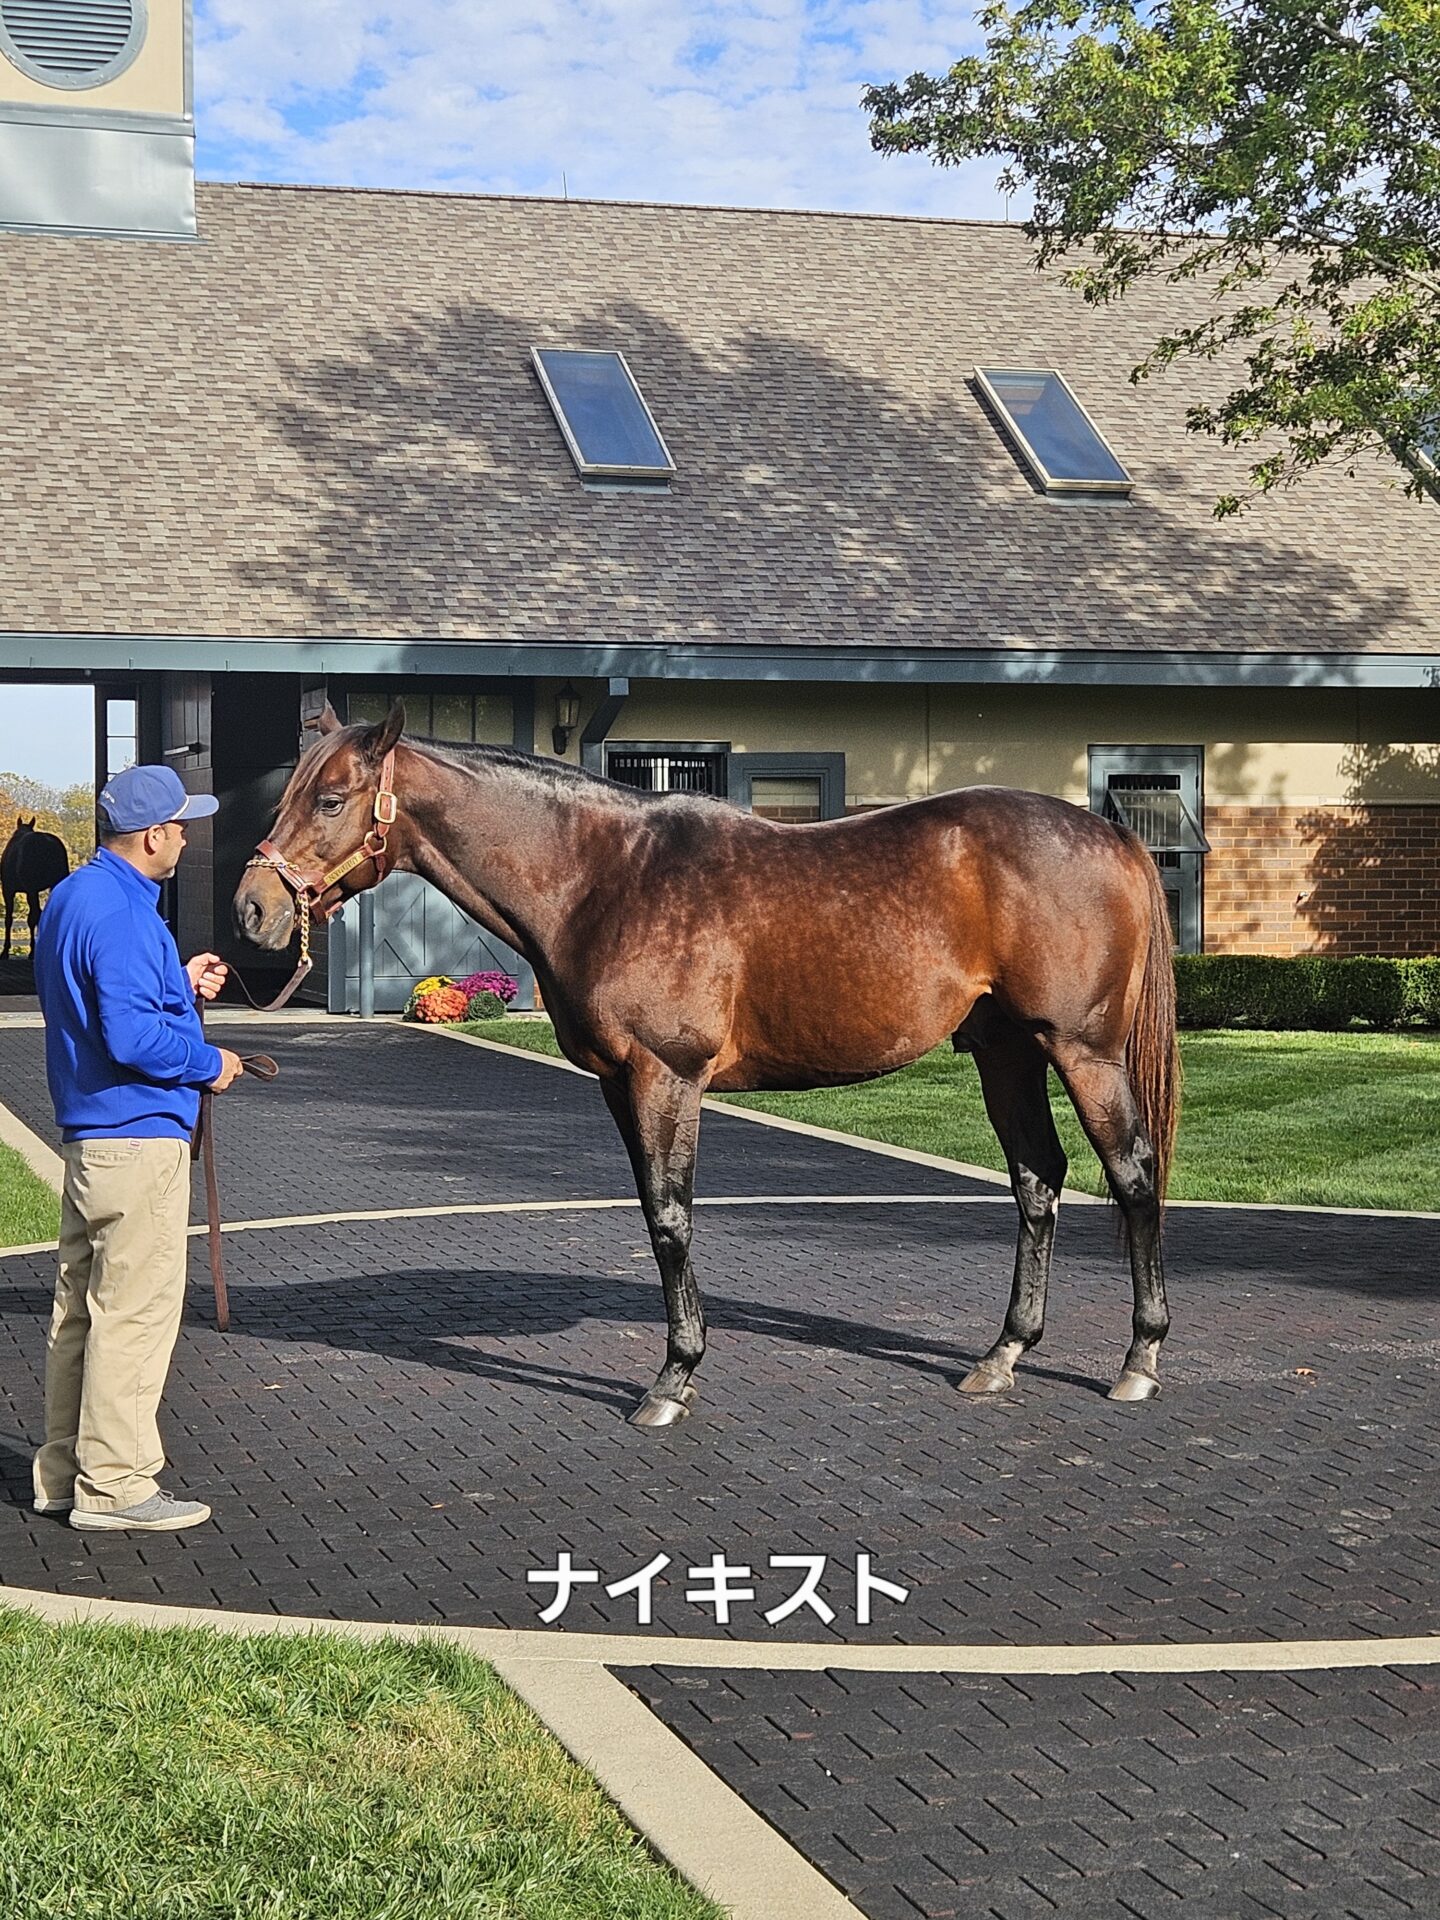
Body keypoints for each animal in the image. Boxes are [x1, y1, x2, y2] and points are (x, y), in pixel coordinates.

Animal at [1, 815, 70, 960]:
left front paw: (5, 951)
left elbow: (9, 919)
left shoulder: (9, 890)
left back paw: (33, 952)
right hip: (53, 884)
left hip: (31, 890)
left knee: (35, 916)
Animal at [234, 702, 1179, 1429]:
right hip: (1004, 1053)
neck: (602, 877)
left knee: (1132, 1174)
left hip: (1082, 1051)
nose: (253, 909)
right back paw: (1004, 1353)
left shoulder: (666, 1076)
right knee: (1038, 1178)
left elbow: (671, 1220)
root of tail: (1112, 835)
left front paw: (672, 1379)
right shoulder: (619, 1085)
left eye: (331, 798)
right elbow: (656, 1215)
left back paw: (1139, 1360)